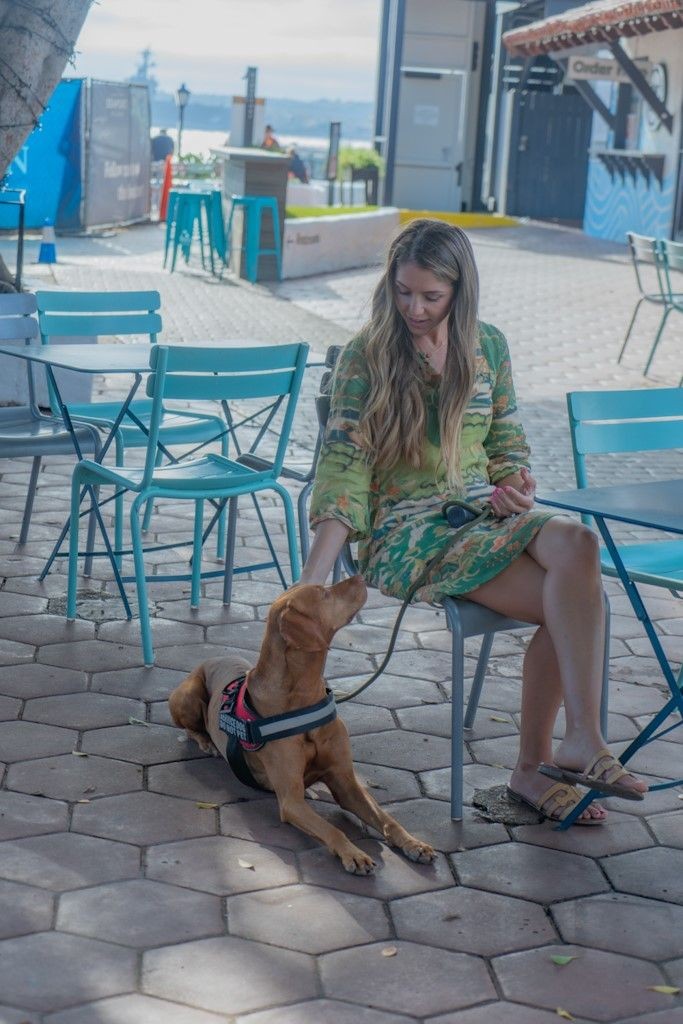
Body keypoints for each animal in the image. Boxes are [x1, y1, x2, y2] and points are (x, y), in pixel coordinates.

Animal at [168, 577, 436, 872]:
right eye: (323, 593)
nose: (360, 578)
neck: (304, 696)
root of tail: (213, 657)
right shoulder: (291, 800)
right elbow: (331, 828)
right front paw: (352, 853)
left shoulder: (346, 782)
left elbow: (387, 818)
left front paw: (413, 843)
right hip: (189, 695)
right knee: (190, 727)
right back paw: (206, 741)